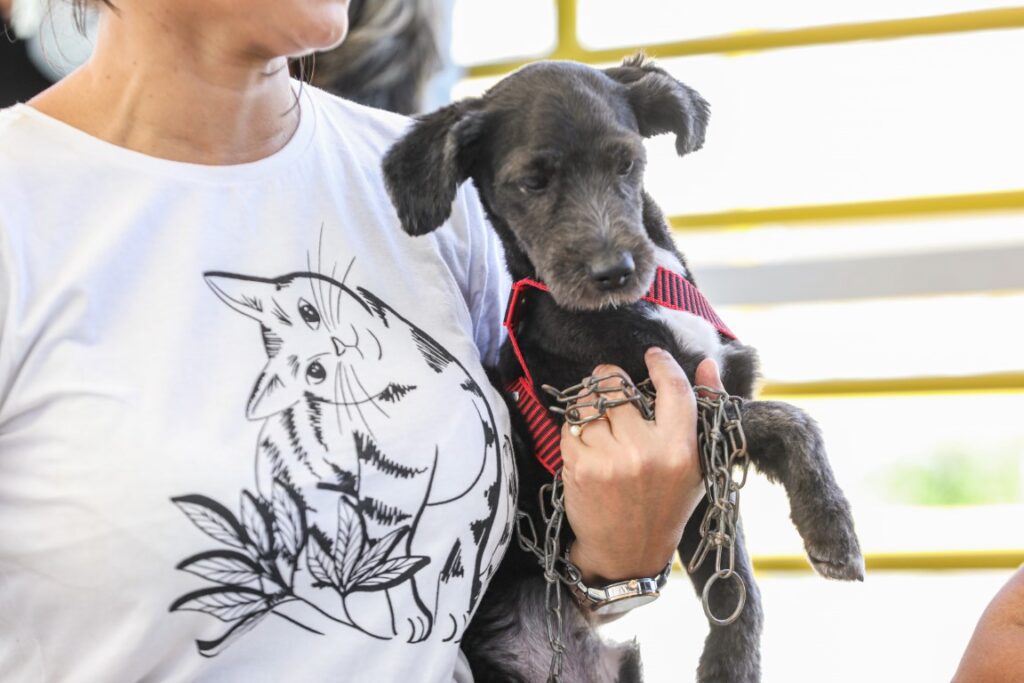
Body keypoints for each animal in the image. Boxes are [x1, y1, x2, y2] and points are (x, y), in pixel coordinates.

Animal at [380, 54, 860, 683]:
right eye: (532, 182)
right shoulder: (672, 412)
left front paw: (730, 665)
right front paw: (834, 529)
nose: (614, 271)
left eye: (626, 162)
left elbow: (734, 583)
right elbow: (792, 419)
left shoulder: (699, 481)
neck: (646, 300)